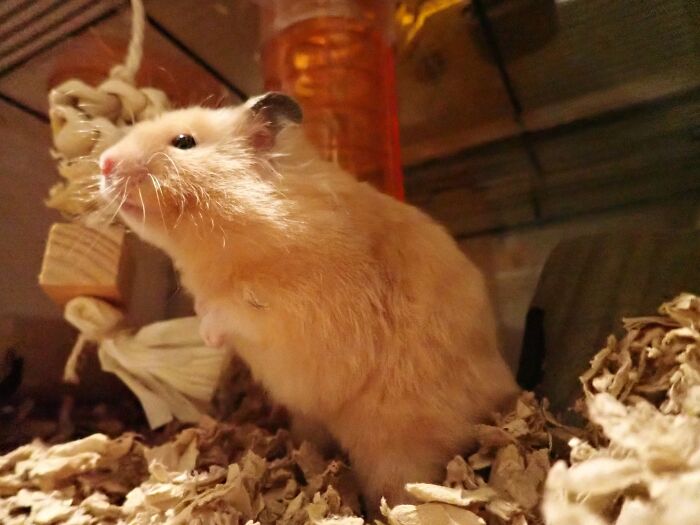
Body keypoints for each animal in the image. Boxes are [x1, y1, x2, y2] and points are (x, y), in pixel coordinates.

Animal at [98, 92, 520, 510]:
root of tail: (508, 396)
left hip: (400, 443)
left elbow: (230, 311)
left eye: (184, 142)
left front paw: (208, 333)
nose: (104, 163)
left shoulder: (287, 301)